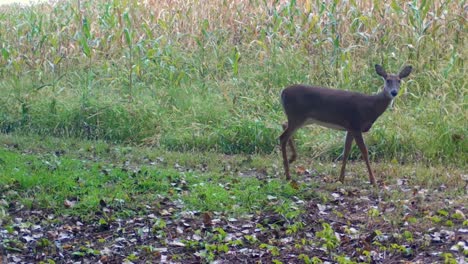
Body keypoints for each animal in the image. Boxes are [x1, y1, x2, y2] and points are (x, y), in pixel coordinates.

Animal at [280, 64, 412, 185]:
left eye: (399, 81)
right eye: (387, 80)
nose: (394, 92)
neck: (371, 106)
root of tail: (283, 92)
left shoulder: (350, 128)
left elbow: (346, 151)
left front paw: (341, 178)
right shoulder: (356, 124)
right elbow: (364, 152)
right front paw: (373, 180)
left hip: (301, 118)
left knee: (284, 124)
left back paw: (292, 159)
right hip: (297, 115)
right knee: (282, 137)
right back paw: (288, 174)